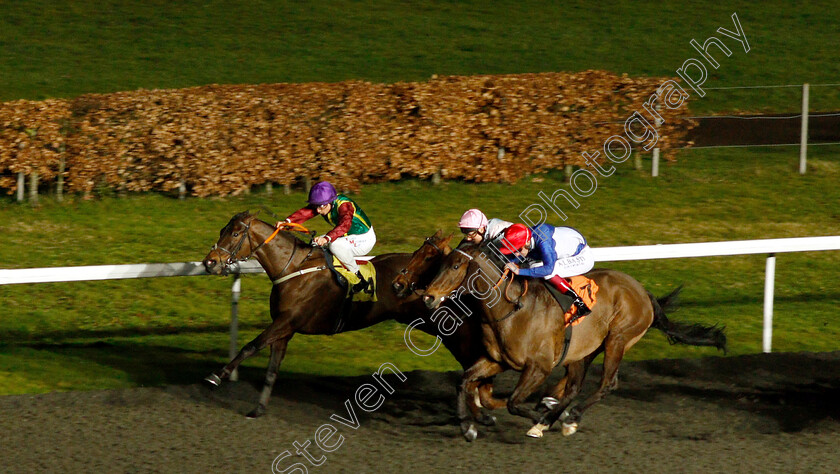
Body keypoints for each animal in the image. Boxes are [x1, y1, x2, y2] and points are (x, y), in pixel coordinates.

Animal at [201, 214, 506, 418]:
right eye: (223, 229)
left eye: (235, 234)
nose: (209, 262)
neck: (294, 269)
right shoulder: (285, 329)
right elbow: (271, 369)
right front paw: (259, 407)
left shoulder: (286, 322)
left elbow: (250, 346)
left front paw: (216, 376)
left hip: (449, 327)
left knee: (473, 355)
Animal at [424, 243, 724, 442]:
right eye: (439, 264)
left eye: (455, 266)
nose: (428, 296)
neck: (509, 309)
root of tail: (643, 291)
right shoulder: (497, 361)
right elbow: (464, 381)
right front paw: (469, 426)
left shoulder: (539, 367)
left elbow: (513, 401)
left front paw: (538, 417)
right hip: (583, 351)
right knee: (573, 387)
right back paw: (555, 417)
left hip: (618, 339)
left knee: (607, 384)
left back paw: (569, 417)